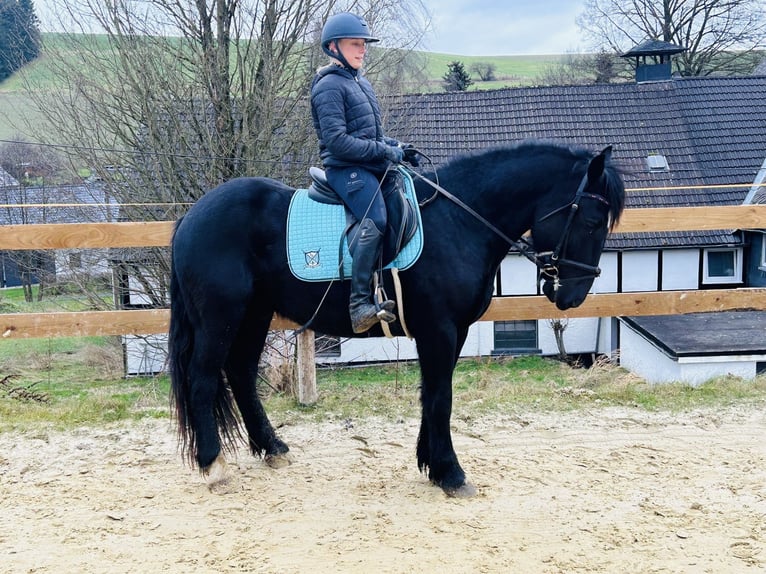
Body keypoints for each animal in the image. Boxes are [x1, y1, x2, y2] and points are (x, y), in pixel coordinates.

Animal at [168, 142, 624, 498]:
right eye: (591, 220)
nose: (573, 295)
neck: (460, 221)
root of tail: (191, 217)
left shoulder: (454, 332)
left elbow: (433, 394)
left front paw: (431, 463)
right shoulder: (439, 330)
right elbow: (441, 397)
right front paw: (450, 472)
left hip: (254, 314)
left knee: (241, 374)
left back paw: (273, 448)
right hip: (221, 317)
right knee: (204, 379)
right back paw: (213, 466)